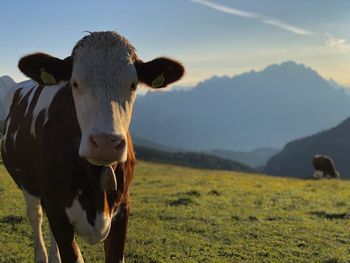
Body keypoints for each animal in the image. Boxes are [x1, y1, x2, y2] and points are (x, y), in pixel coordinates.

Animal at [0, 31, 186, 263]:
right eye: (75, 83)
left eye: (133, 84)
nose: (106, 143)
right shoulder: (56, 206)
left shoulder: (123, 208)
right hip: (28, 183)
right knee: (36, 215)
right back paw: (42, 256)